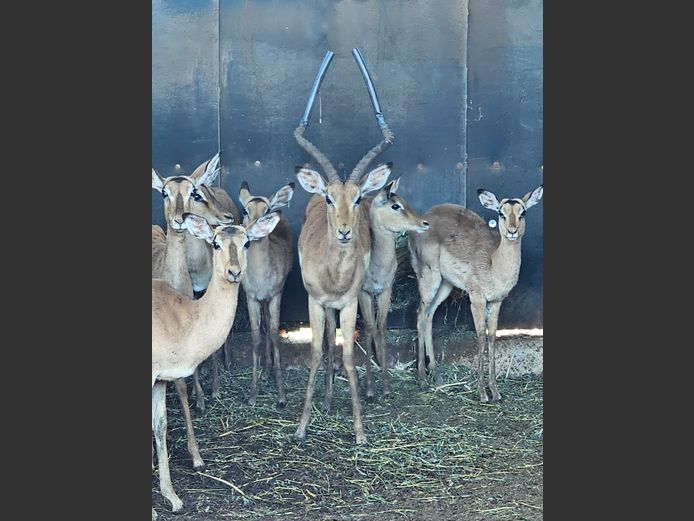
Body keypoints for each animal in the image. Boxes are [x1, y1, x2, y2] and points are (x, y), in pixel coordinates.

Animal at [152, 211, 280, 517]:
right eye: (215, 243)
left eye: (247, 242)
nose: (233, 272)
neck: (182, 318)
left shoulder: (160, 378)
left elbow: (160, 426)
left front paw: (173, 498)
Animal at [238, 181, 295, 408]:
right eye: (246, 210)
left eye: (267, 209)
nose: (255, 231)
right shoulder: (251, 297)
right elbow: (255, 338)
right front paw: (253, 395)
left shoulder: (276, 294)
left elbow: (274, 334)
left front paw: (281, 396)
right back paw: (265, 372)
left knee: (270, 325)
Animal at [293, 49, 394, 445]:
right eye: (330, 198)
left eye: (357, 198)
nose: (345, 232)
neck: (333, 276)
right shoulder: (315, 302)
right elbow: (315, 353)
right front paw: (301, 427)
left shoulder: (349, 303)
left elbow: (350, 355)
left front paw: (360, 430)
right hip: (326, 307)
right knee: (326, 343)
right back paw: (326, 397)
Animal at [408, 185, 543, 401]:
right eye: (500, 213)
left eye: (523, 213)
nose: (512, 231)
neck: (494, 262)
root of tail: (423, 219)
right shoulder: (477, 298)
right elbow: (480, 335)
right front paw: (482, 392)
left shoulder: (496, 301)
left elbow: (492, 336)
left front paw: (495, 391)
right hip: (429, 278)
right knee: (420, 315)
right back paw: (421, 376)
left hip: (445, 285)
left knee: (428, 317)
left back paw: (436, 375)